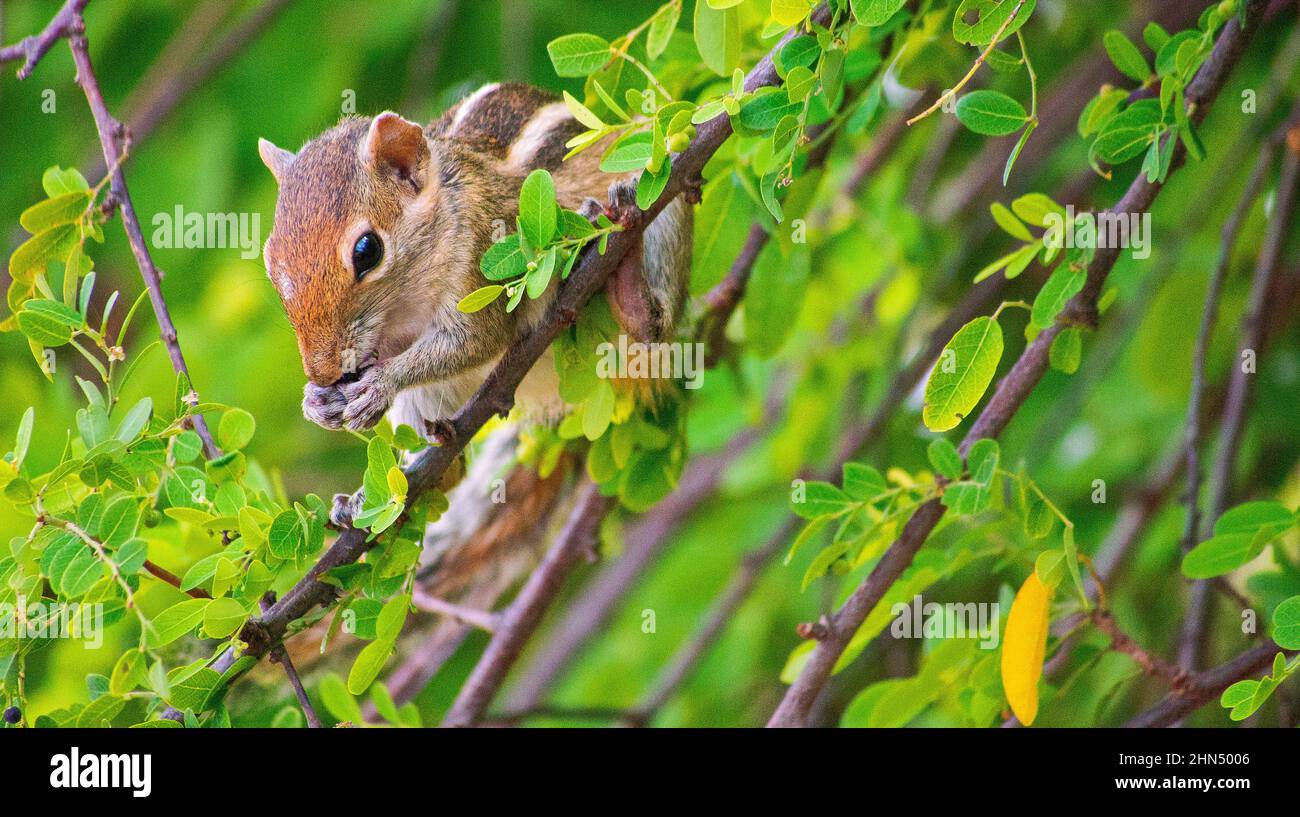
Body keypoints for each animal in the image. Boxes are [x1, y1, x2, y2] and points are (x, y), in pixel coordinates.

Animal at [257, 81, 696, 439]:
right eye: (270, 262)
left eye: (367, 251)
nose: (322, 372)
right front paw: (316, 400)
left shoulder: (479, 253)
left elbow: (476, 338)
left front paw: (380, 383)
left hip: (658, 178)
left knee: (651, 329)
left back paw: (629, 282)